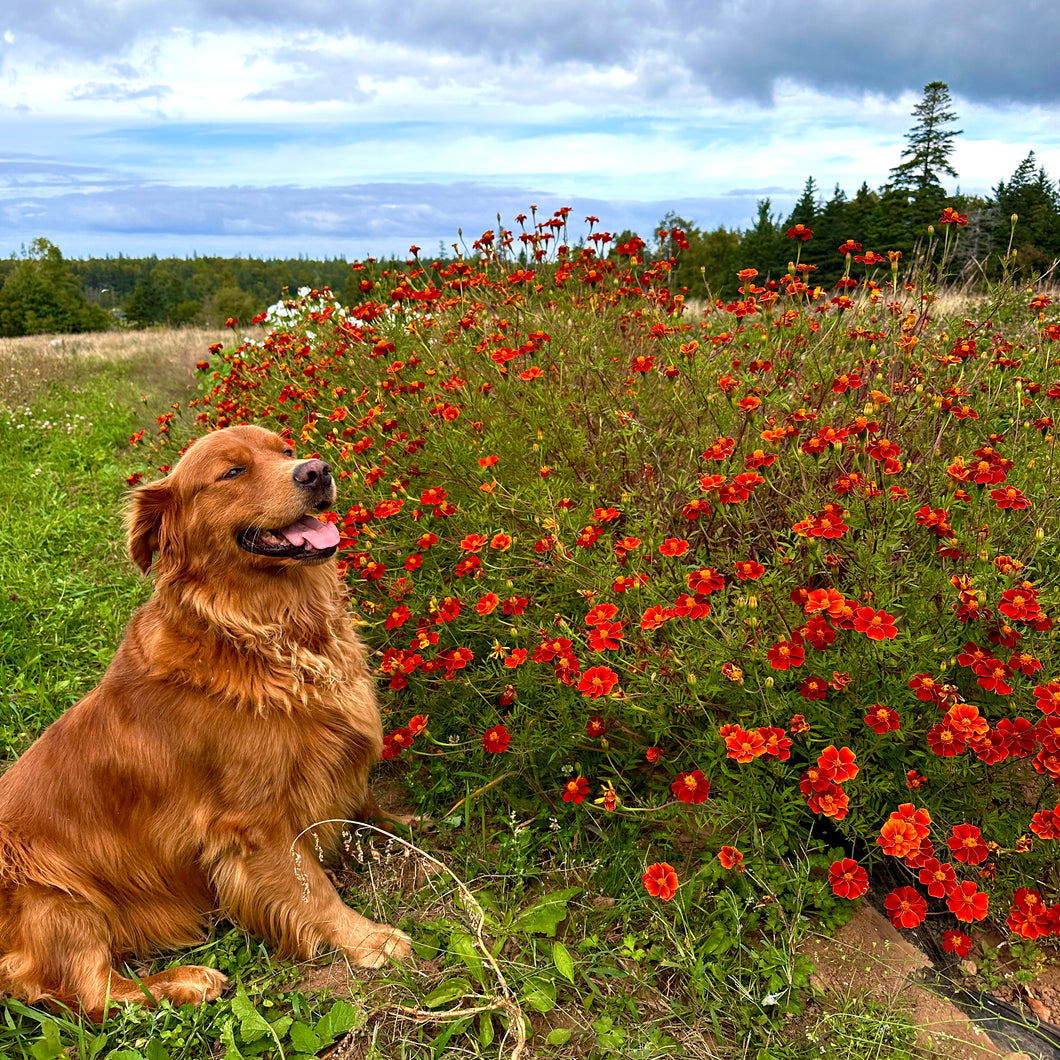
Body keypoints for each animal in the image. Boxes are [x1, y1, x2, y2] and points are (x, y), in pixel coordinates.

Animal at [0, 421, 409, 1017]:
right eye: (232, 471)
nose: (316, 470)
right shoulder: (254, 821)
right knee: (93, 995)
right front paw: (367, 938)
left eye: (286, 449)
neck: (261, 630)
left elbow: (364, 804)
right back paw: (187, 981)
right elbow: (310, 887)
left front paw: (398, 823)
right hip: (57, 900)